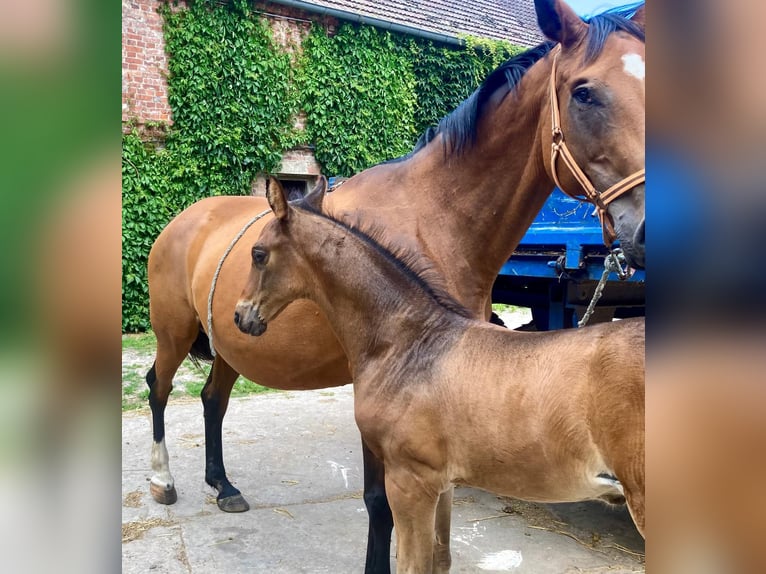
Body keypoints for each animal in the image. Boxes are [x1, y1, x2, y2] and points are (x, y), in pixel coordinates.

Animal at [234, 176, 645, 573]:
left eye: (258, 254)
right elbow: (441, 559)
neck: (409, 343)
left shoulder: (408, 481)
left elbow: (413, 565)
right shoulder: (442, 484)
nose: (241, 316)